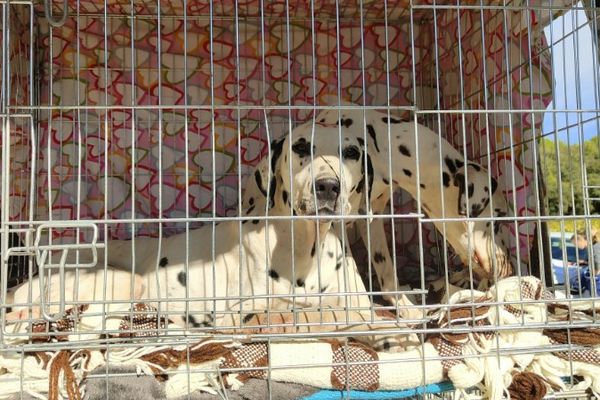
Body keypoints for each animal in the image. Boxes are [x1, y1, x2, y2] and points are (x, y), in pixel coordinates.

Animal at [7, 120, 414, 352]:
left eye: (351, 152)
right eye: (301, 147)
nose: (328, 186)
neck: (306, 247)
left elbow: (358, 311)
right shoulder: (247, 313)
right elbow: (319, 314)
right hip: (122, 283)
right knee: (86, 329)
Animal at [246, 106, 512, 310]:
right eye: (498, 219)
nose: (509, 269)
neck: (384, 148)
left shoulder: (371, 218)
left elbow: (386, 269)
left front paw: (405, 307)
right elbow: (350, 270)